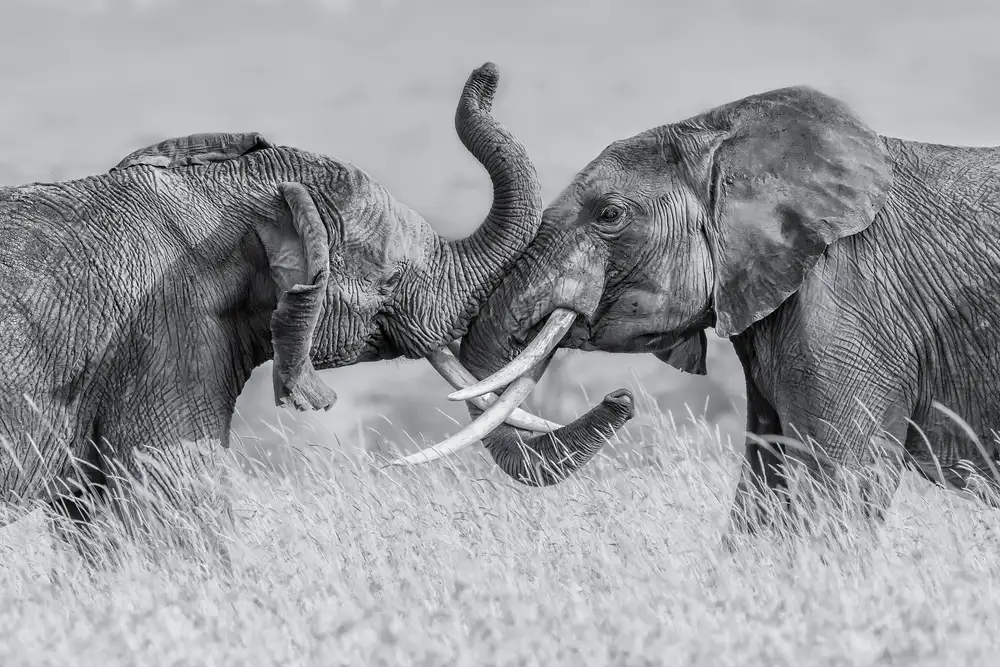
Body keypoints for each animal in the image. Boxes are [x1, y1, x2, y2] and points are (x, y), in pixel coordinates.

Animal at [398, 84, 1000, 532]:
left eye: (609, 215)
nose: (621, 399)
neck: (727, 138)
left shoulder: (850, 300)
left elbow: (840, 485)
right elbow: (763, 486)